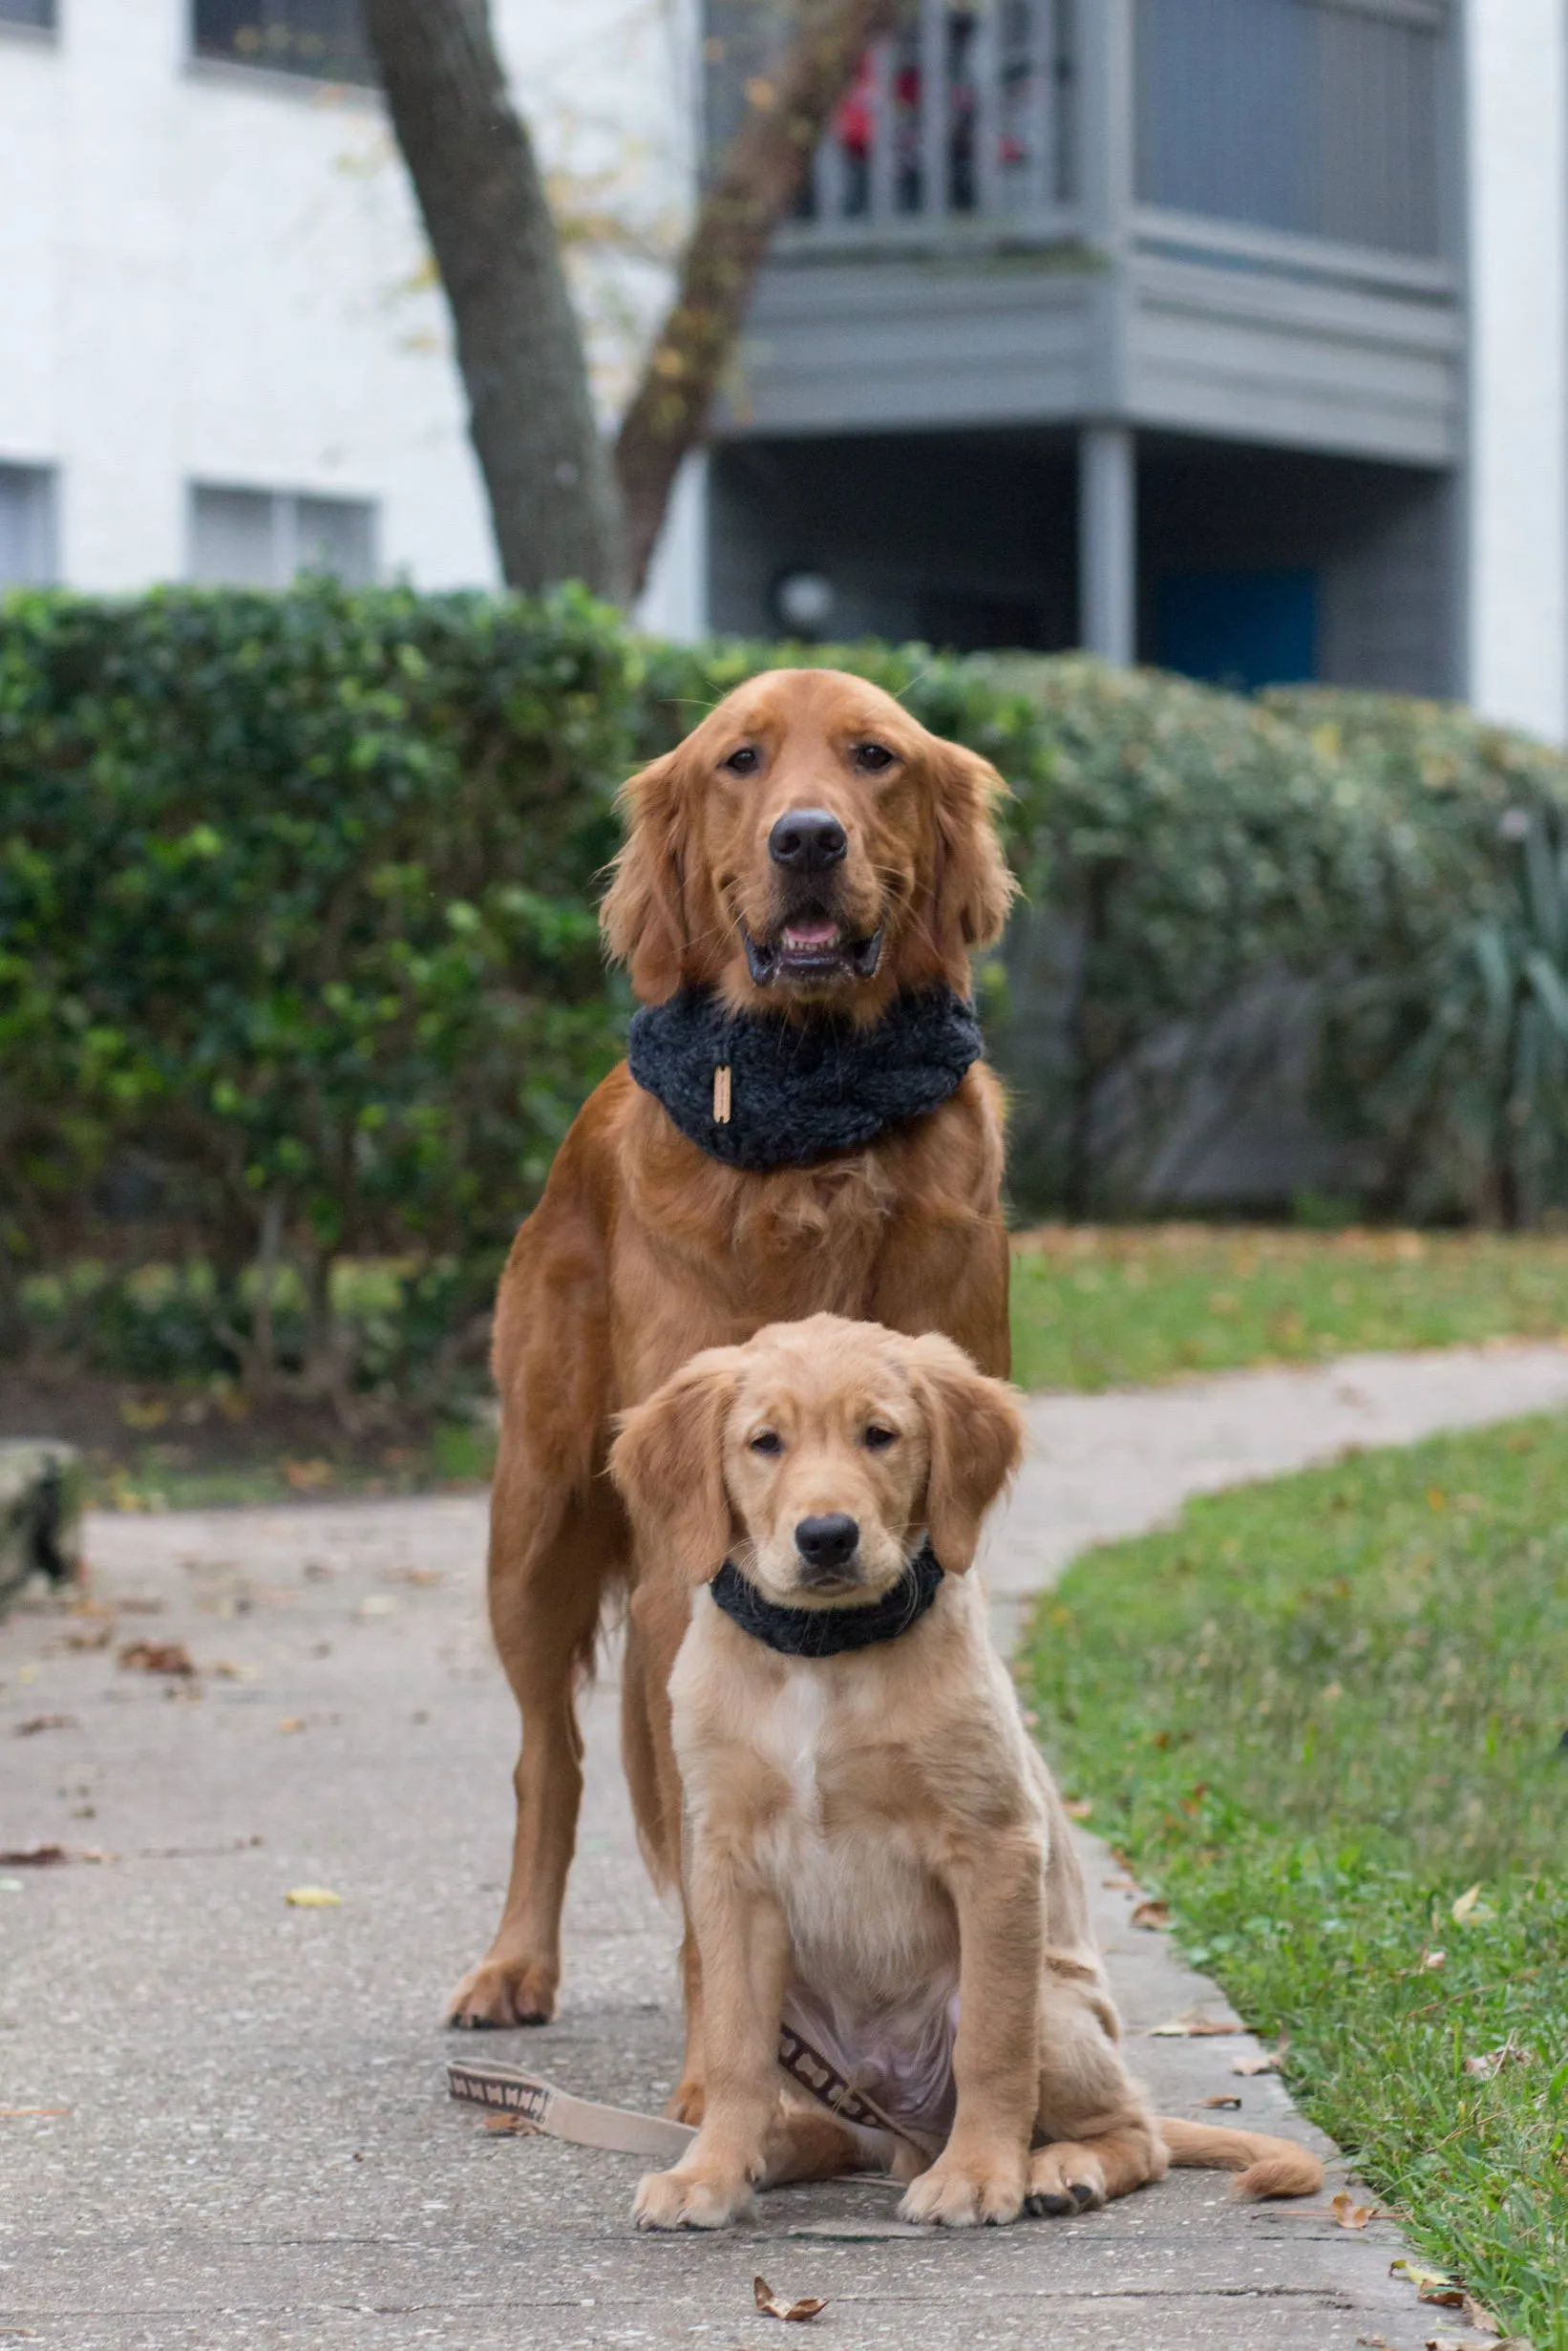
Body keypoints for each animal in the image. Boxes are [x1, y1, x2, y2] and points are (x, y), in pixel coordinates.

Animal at [454, 658, 1020, 2078]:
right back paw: (512, 1964)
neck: (811, 1112)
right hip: (532, 1528)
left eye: (873, 757)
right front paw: (725, 2072)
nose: (805, 839)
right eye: (740, 761)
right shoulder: (678, 1569)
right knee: (548, 1760)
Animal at [611, 1316, 1325, 2228]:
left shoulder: (995, 1849)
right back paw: (773, 2151)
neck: (823, 1656)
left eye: (879, 1435)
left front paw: (983, 2172)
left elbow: (992, 2040)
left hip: (1058, 2008)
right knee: (827, 2125)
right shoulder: (727, 1866)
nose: (827, 1536)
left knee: (1135, 2132)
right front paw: (710, 2171)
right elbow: (733, 2044)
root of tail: (907, 2136)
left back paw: (1055, 2168)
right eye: (764, 1443)